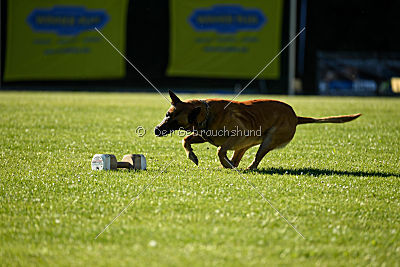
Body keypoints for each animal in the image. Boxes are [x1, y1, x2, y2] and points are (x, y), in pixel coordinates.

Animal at [155, 90, 360, 170]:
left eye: (174, 120)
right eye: (167, 114)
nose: (157, 129)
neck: (206, 113)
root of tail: (295, 116)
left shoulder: (239, 134)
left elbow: (220, 149)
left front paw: (222, 162)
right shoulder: (203, 136)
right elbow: (186, 140)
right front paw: (192, 155)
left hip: (267, 141)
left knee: (254, 158)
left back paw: (245, 167)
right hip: (246, 145)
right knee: (237, 158)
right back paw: (233, 165)